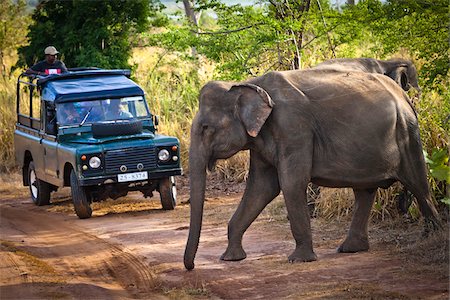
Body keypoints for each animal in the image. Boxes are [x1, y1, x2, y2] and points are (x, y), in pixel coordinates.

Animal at [184, 68, 440, 270]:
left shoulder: (293, 128)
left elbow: (291, 183)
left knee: (418, 184)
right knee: (365, 191)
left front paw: (299, 260)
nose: (192, 266)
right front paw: (231, 258)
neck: (248, 83)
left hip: (407, 134)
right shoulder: (261, 139)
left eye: (206, 128)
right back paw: (351, 249)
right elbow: (261, 188)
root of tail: (405, 96)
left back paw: (433, 237)